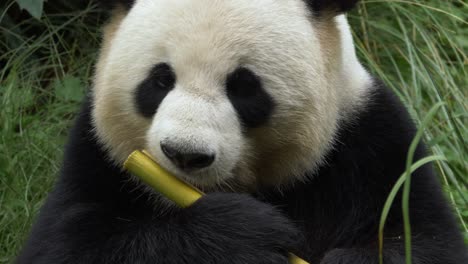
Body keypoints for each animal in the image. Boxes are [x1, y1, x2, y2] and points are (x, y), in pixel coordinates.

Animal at [16, 0, 466, 264]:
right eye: (160, 80)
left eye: (244, 87)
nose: (185, 154)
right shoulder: (97, 155)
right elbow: (66, 244)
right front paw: (242, 235)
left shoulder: (368, 141)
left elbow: (425, 238)